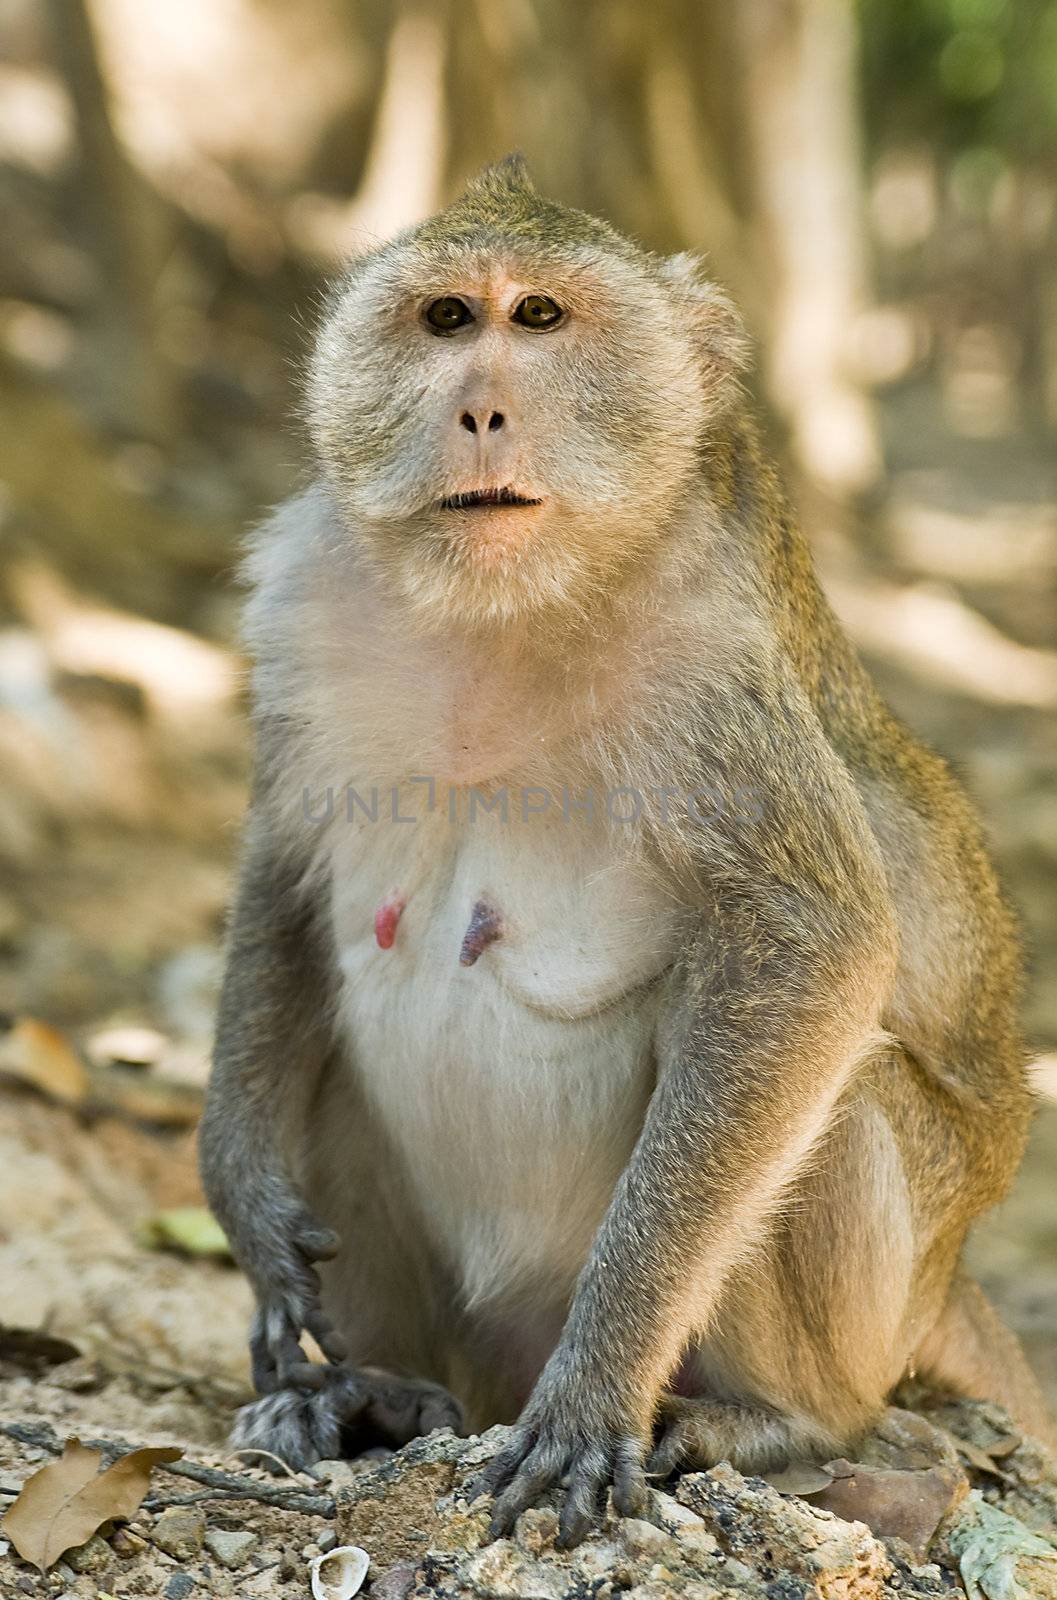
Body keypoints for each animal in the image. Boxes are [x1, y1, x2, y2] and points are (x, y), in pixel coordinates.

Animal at [198, 156, 1049, 1542]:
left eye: (540, 318)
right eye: (447, 319)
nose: (481, 409)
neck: (506, 604)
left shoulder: (712, 670)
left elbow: (809, 953)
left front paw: (599, 1384)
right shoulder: (300, 596)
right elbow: (283, 867)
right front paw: (244, 1201)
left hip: (886, 1301)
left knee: (842, 1091)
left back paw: (779, 1420)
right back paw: (374, 1392)